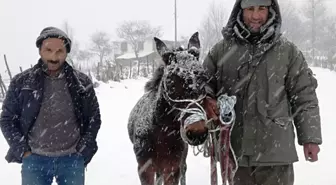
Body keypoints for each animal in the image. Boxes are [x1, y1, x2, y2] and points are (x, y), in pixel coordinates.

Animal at [128, 32, 210, 185]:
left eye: (204, 79)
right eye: (170, 83)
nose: (197, 132)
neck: (161, 134)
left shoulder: (172, 168)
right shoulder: (145, 169)